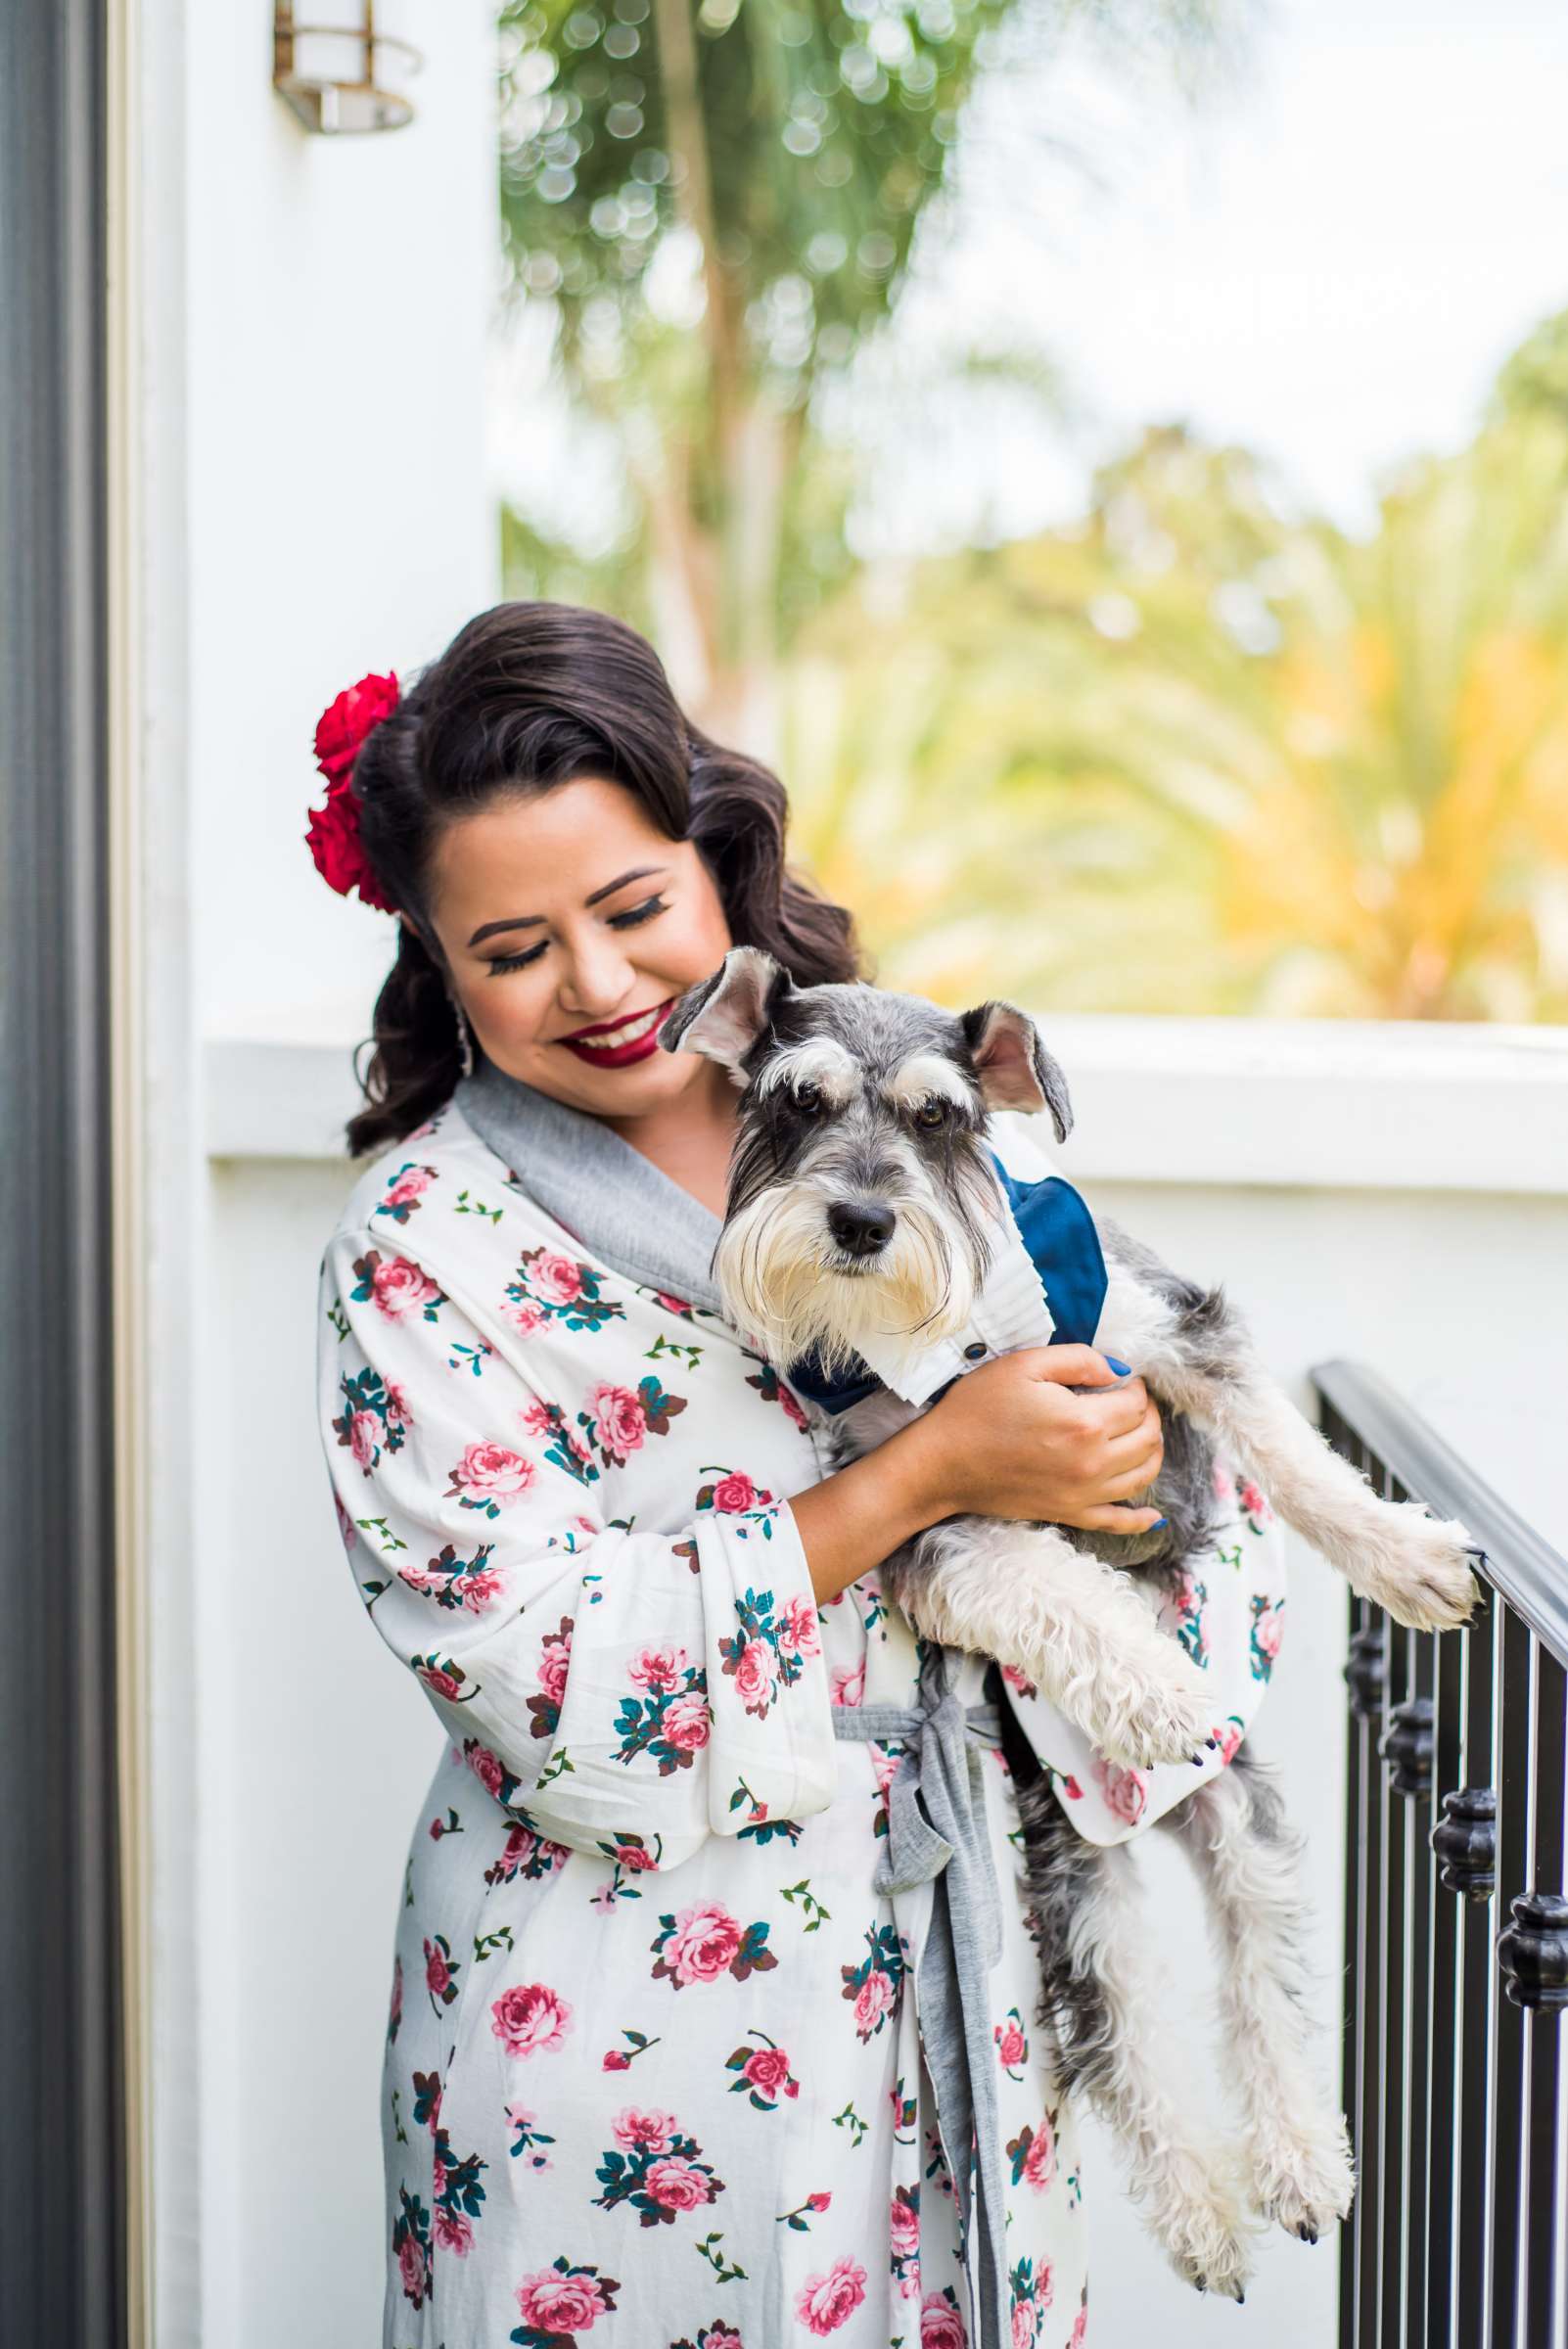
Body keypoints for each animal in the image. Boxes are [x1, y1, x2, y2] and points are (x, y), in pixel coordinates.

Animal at [662, 944, 1483, 2302]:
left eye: (940, 1117)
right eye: (795, 1101)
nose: (861, 1222)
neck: (950, 1343)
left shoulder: (1171, 1333)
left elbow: (1295, 1461)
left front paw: (1409, 1560)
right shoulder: (929, 1515)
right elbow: (1055, 1588)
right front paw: (1154, 1690)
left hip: (1244, 1831)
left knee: (1264, 1991)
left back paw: (1302, 2167)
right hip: (1078, 1877)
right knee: (1131, 2034)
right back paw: (1205, 2219)